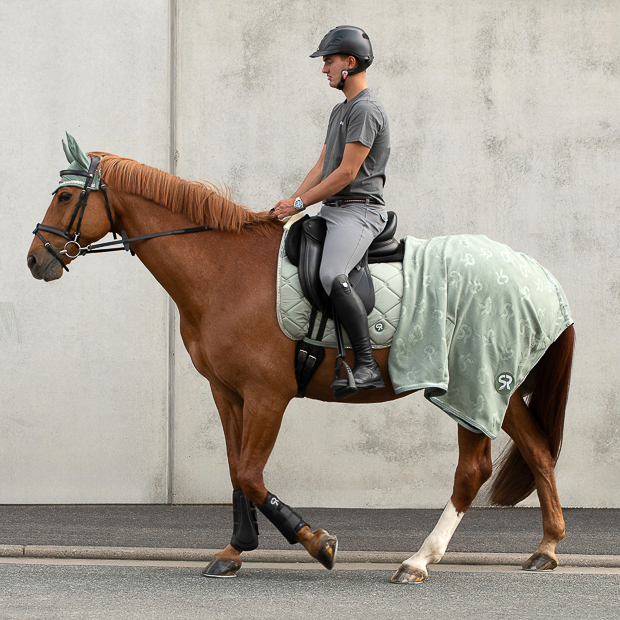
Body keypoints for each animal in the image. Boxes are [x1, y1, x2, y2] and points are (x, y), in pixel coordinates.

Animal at [26, 143, 572, 584]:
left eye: (67, 197)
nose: (36, 259)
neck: (223, 271)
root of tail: (537, 274)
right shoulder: (227, 391)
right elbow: (236, 470)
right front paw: (234, 550)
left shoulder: (268, 394)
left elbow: (250, 473)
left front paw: (316, 542)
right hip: (498, 386)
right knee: (539, 450)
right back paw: (545, 548)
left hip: (470, 383)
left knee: (472, 470)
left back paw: (418, 561)